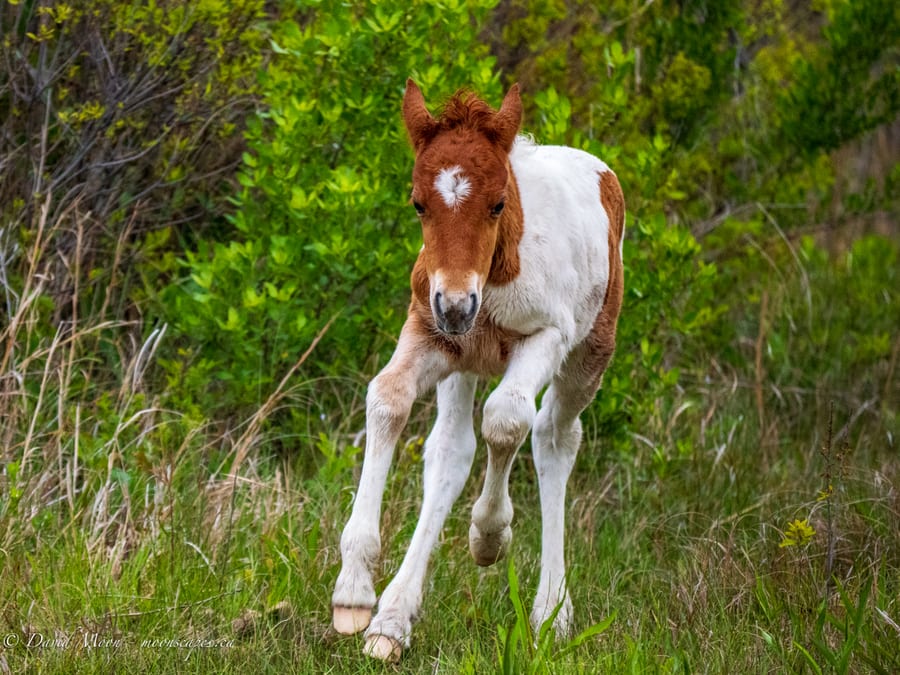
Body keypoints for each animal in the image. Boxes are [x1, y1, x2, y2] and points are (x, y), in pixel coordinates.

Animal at [331, 79, 625, 662]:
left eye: (497, 203)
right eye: (417, 203)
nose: (456, 304)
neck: (492, 279)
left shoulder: (547, 336)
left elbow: (507, 420)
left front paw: (489, 537)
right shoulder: (429, 330)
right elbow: (388, 397)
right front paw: (354, 591)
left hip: (589, 354)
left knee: (554, 436)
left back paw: (550, 611)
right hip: (461, 363)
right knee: (451, 450)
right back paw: (392, 619)